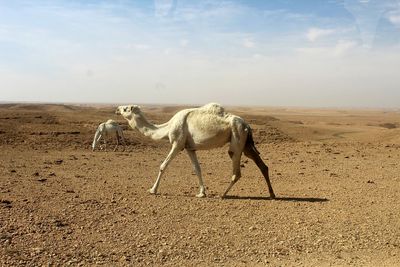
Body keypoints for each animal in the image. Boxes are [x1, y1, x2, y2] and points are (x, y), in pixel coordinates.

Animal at [115, 103, 276, 199]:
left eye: (125, 108)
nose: (116, 108)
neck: (167, 127)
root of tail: (247, 125)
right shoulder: (190, 148)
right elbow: (197, 168)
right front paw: (201, 193)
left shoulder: (177, 143)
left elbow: (163, 166)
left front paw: (152, 190)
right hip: (246, 144)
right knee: (263, 166)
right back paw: (272, 194)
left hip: (237, 138)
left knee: (237, 171)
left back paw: (223, 194)